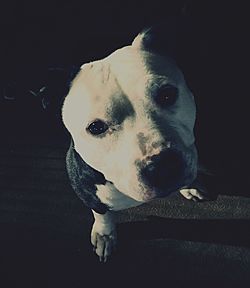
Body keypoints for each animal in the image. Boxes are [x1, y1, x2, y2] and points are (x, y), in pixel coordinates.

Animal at [61, 25, 208, 264]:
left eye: (167, 94)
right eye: (96, 127)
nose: (163, 167)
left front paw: (190, 185)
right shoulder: (86, 190)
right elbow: (102, 214)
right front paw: (105, 235)